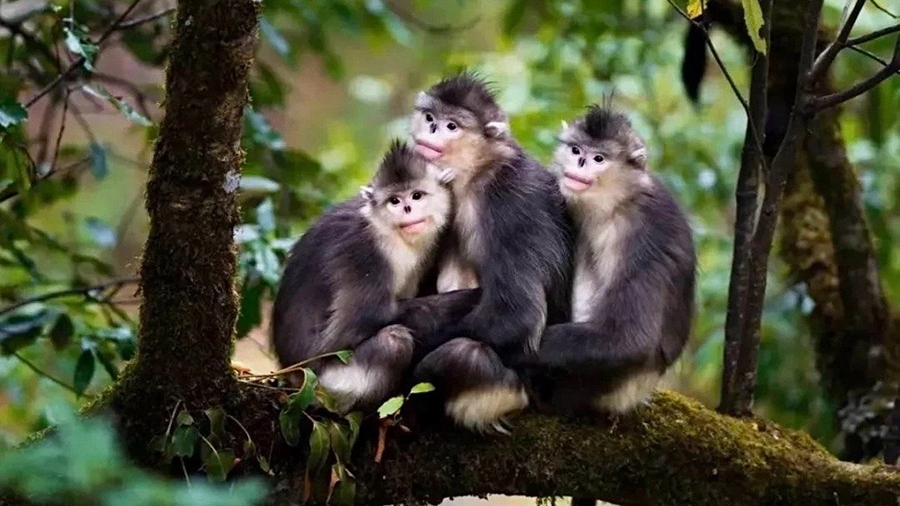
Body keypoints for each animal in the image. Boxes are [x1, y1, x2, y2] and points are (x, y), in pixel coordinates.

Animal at [270, 139, 458, 416]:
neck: (386, 228)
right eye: (394, 200)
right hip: (329, 386)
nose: (407, 208)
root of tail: (292, 374)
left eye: (417, 195)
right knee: (394, 341)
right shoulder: (363, 252)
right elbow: (359, 323)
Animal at [406, 73, 568, 432]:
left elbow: (518, 314)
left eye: (451, 125)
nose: (432, 130)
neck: (478, 171)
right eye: (430, 117)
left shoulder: (508, 200)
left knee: (463, 354)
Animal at [512, 104, 696, 420]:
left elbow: (629, 339)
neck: (614, 204)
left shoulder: (646, 230)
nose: (581, 162)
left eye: (599, 158)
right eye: (576, 150)